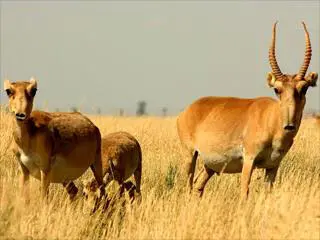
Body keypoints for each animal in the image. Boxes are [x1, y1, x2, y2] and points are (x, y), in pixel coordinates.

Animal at [176, 22, 318, 199]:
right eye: (277, 89)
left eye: (304, 88)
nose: (289, 126)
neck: (271, 120)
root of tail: (187, 110)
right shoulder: (249, 160)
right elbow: (245, 192)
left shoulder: (273, 166)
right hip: (190, 155)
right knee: (188, 185)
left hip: (210, 166)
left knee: (198, 185)